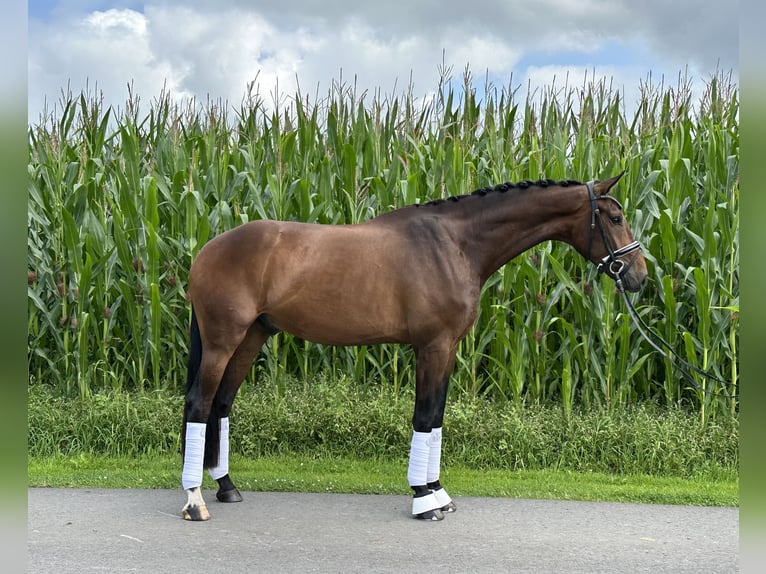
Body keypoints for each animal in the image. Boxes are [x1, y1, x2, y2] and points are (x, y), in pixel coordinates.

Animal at [180, 173, 648, 521]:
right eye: (615, 216)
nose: (639, 276)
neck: (454, 245)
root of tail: (206, 250)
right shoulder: (432, 346)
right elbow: (423, 416)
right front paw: (424, 500)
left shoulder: (449, 349)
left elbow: (437, 418)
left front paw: (438, 492)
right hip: (223, 340)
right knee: (199, 404)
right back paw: (195, 501)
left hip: (253, 336)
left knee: (222, 404)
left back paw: (226, 487)